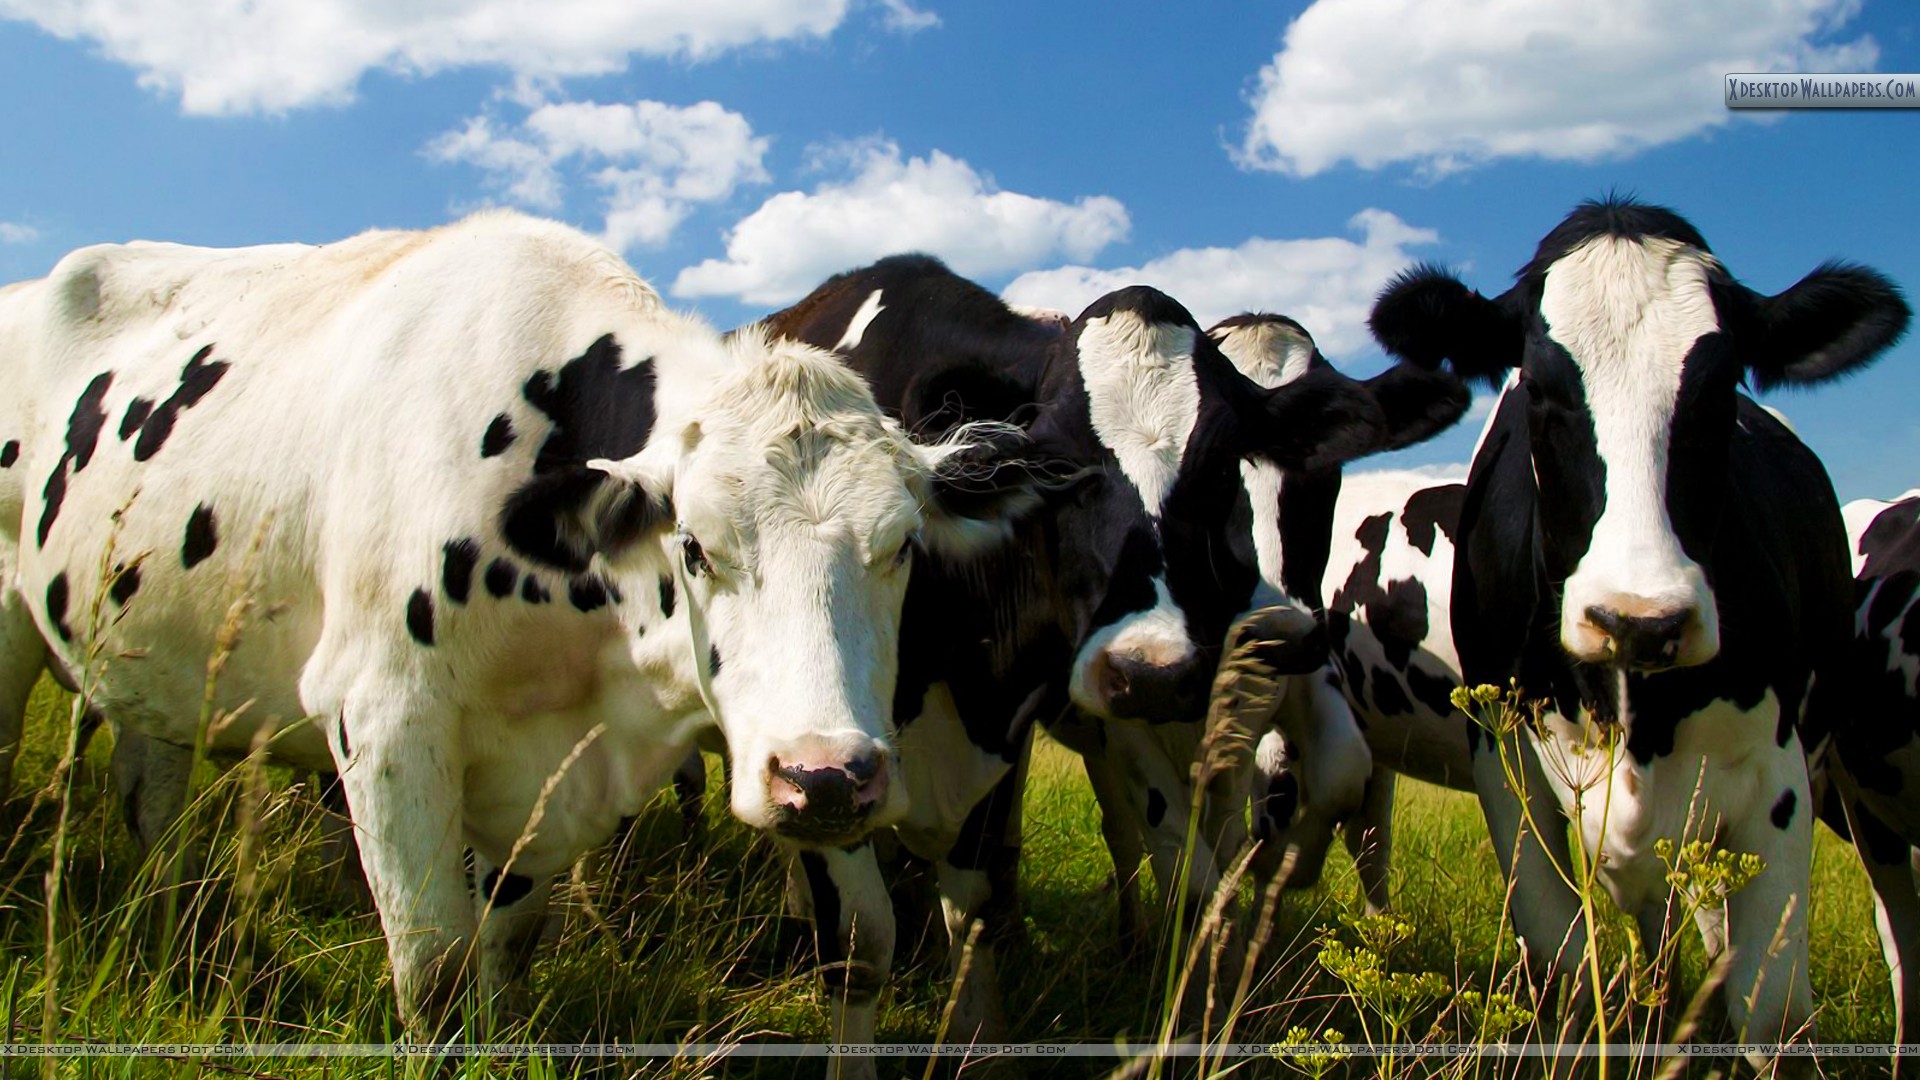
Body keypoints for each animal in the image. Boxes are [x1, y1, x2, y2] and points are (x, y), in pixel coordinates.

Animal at [0, 212, 1060, 1048]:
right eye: (694, 545)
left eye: (903, 545)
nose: (827, 777)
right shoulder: (383, 720)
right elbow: (434, 976)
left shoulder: (555, 777)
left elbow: (508, 952)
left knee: (149, 793)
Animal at [1367, 195, 1909, 1055]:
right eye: (1539, 390)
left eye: (1722, 390)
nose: (1639, 620)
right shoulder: (1508, 767)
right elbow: (1562, 965)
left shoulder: (1779, 777)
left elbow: (1772, 1006)